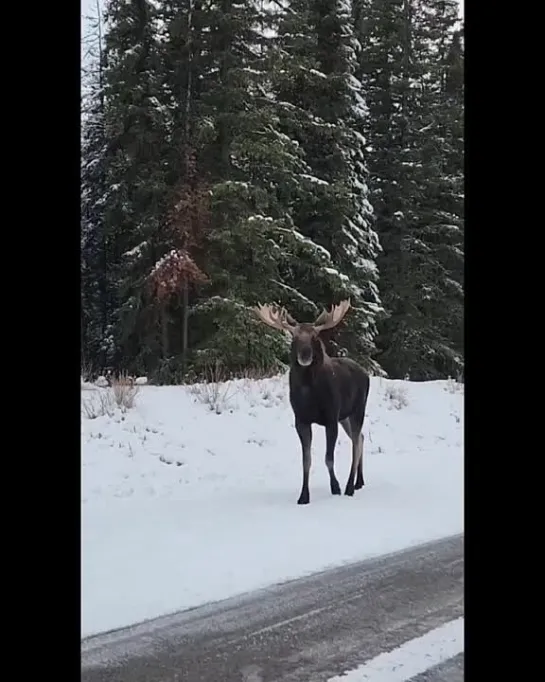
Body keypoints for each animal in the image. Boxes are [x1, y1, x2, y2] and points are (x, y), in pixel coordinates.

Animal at [255, 300, 370, 502]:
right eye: (293, 336)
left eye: (315, 336)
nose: (305, 355)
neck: (309, 394)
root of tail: (366, 374)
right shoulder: (301, 420)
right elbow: (306, 460)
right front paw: (303, 496)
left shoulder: (331, 417)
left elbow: (328, 458)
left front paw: (335, 487)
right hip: (345, 417)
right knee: (361, 438)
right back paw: (359, 482)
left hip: (358, 409)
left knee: (356, 443)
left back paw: (349, 487)